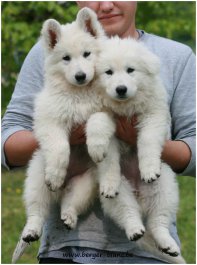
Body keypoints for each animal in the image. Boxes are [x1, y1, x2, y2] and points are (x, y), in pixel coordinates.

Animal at [86, 36, 185, 262]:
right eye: (108, 72)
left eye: (130, 70)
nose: (121, 89)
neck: (125, 106)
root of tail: (140, 197)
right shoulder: (101, 112)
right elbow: (99, 129)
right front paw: (96, 148)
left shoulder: (154, 115)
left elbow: (147, 140)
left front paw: (148, 169)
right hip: (119, 195)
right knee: (128, 212)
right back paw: (135, 229)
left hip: (165, 188)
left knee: (158, 222)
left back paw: (168, 244)